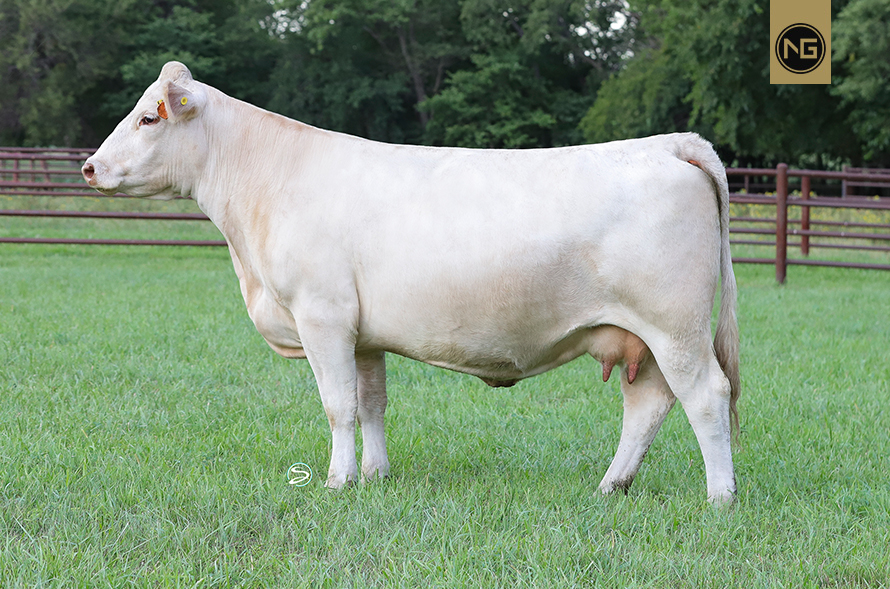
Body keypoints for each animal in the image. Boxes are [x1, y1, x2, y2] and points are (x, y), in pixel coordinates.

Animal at [83, 62, 740, 503]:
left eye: (148, 116)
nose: (89, 167)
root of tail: (669, 144)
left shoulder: (321, 316)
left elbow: (338, 404)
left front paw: (337, 481)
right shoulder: (363, 333)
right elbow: (371, 402)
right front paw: (374, 476)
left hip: (674, 327)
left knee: (707, 395)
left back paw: (720, 497)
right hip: (642, 338)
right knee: (648, 404)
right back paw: (612, 485)